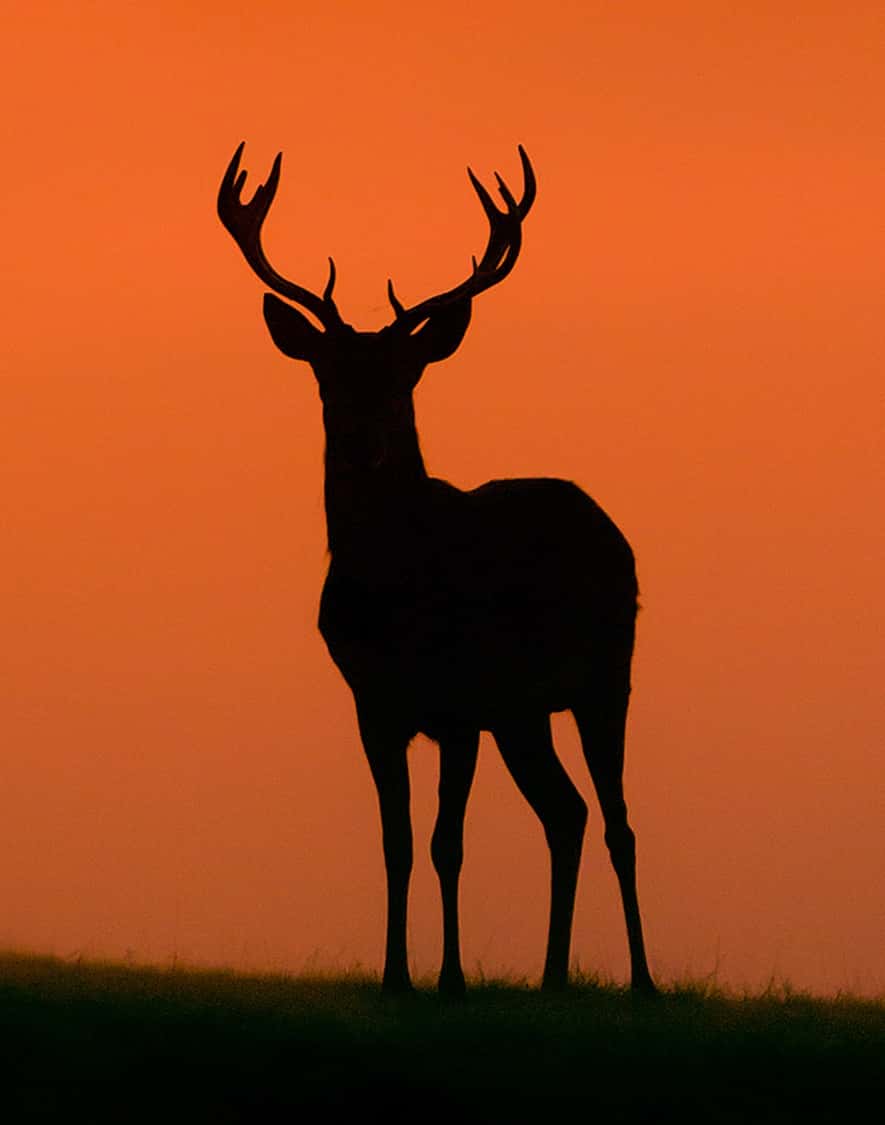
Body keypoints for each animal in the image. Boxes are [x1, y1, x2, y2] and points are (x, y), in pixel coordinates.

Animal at [217, 141, 656, 996]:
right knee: (567, 812)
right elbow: (396, 842)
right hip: (524, 712)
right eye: (327, 373)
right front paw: (395, 975)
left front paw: (449, 979)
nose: (366, 440)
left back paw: (642, 982)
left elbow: (446, 843)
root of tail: (607, 526)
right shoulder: (374, 703)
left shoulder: (459, 703)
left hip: (604, 676)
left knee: (617, 820)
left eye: (404, 374)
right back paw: (552, 977)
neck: (397, 591)